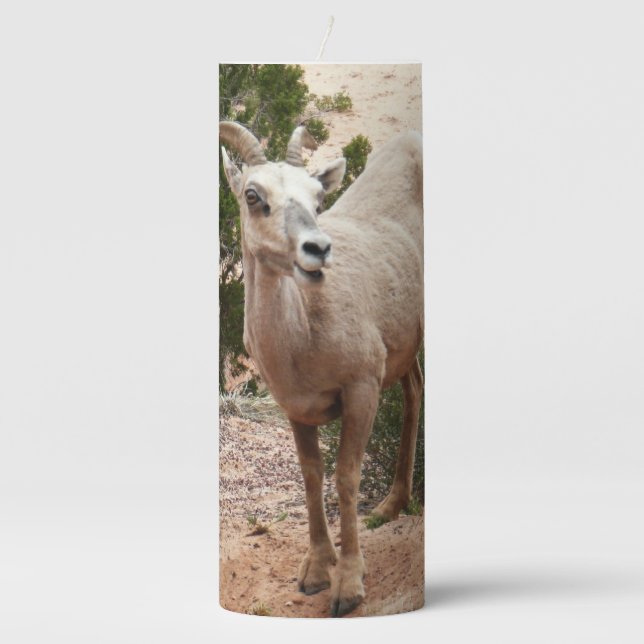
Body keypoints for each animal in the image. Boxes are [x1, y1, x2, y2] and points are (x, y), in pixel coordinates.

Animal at [220, 121, 423, 616]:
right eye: (252, 195)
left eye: (317, 199)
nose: (318, 249)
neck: (303, 336)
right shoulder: (296, 407)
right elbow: (312, 476)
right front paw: (314, 572)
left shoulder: (362, 390)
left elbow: (346, 476)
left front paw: (348, 587)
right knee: (415, 391)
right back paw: (390, 507)